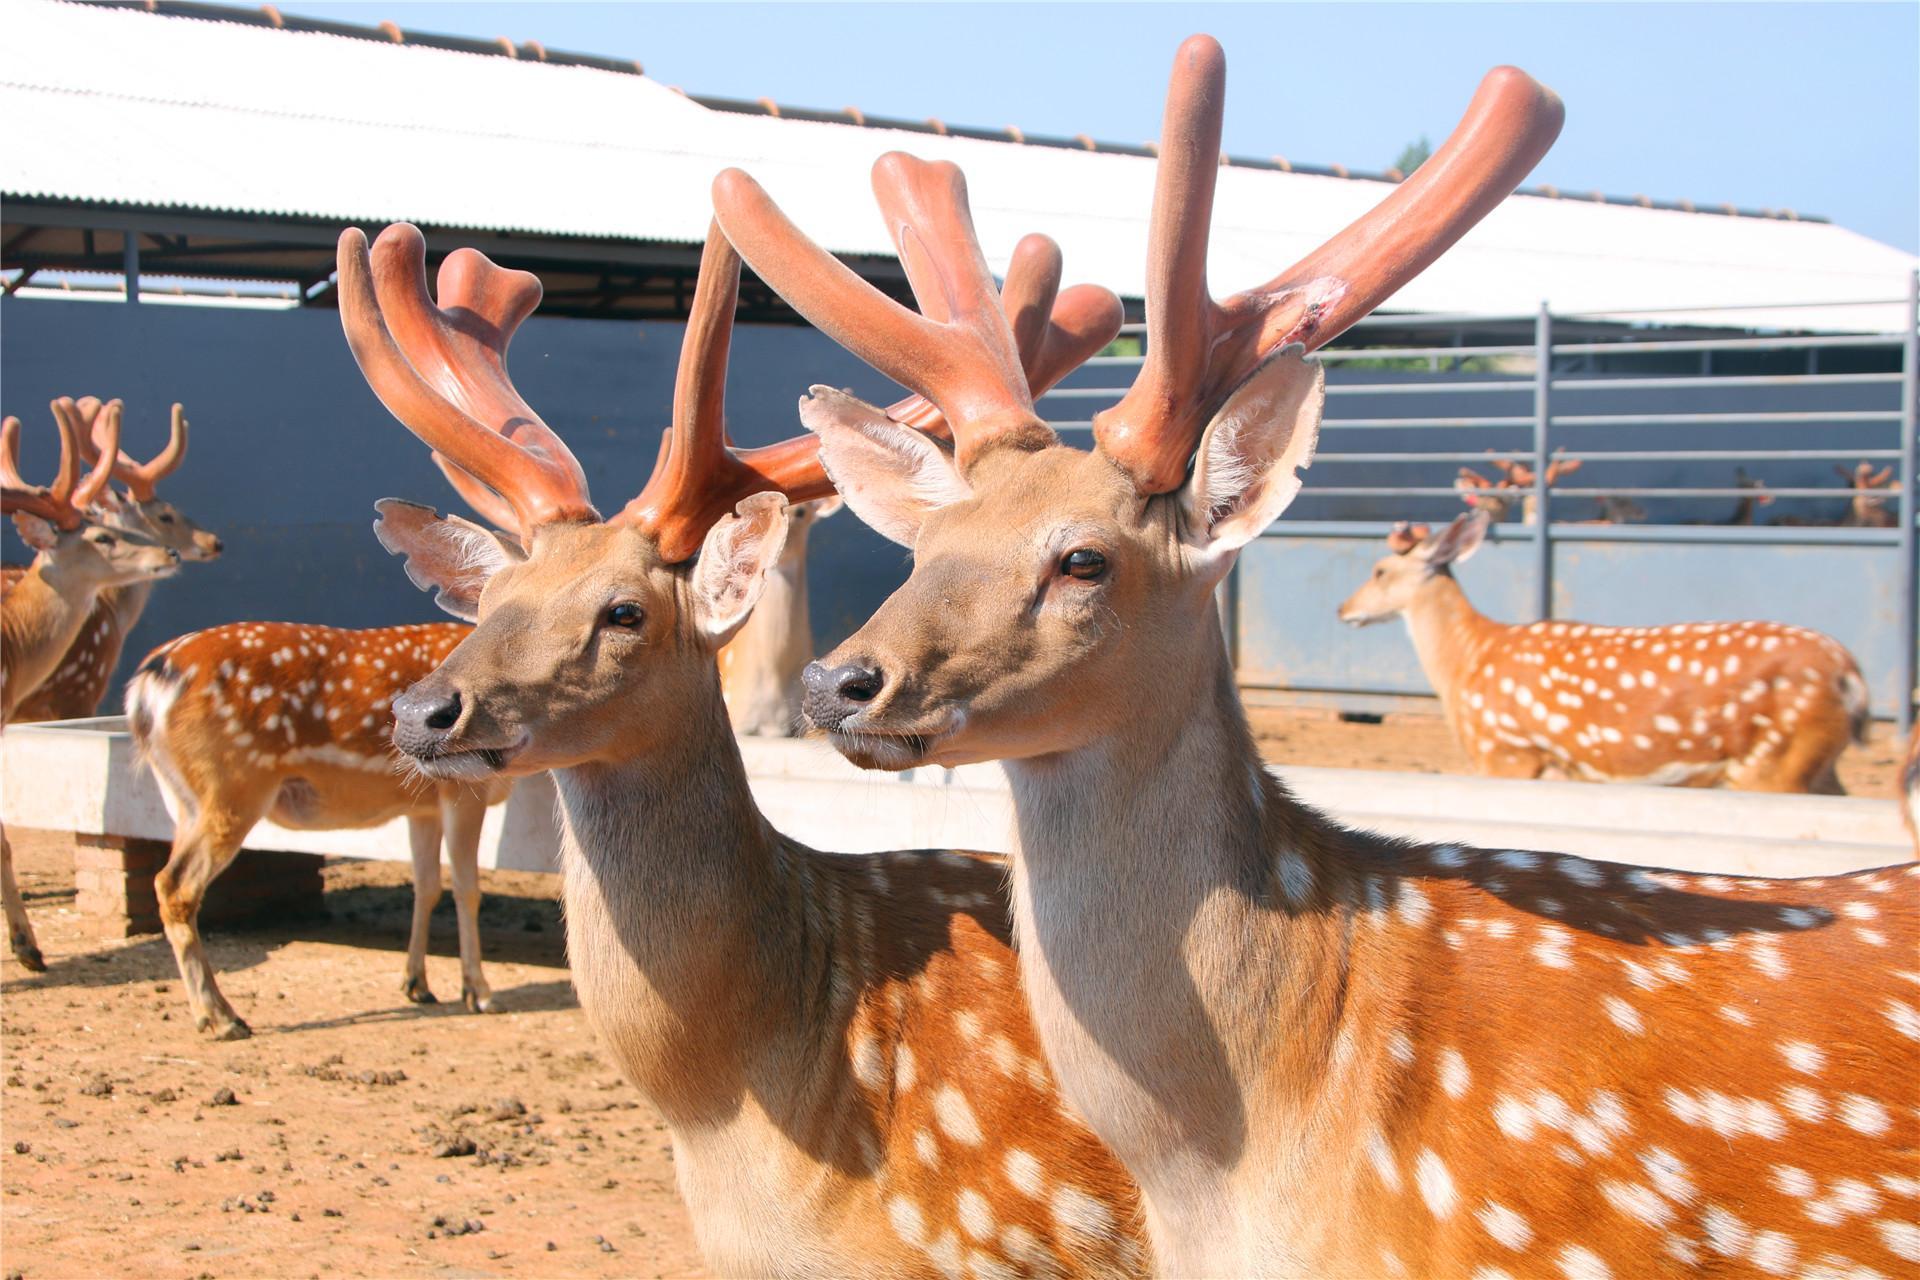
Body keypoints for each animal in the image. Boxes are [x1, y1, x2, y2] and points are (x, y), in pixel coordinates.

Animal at [1338, 511, 1870, 792]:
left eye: (1380, 570)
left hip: (1776, 761)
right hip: (1814, 761)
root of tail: (1852, 677)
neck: (1467, 661)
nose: (1344, 608)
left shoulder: (1508, 750)